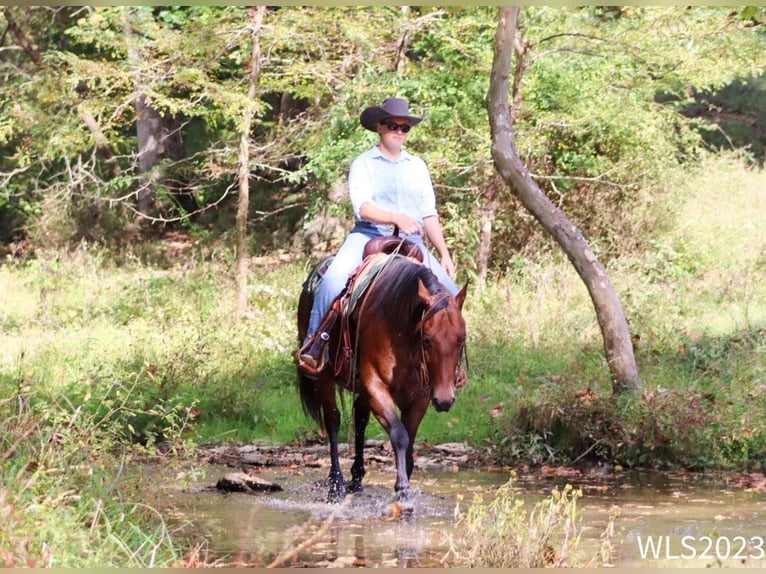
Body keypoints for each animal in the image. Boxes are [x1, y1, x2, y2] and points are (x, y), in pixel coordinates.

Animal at [298, 253, 468, 504]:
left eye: (461, 338)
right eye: (426, 339)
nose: (445, 400)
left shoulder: (420, 396)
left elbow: (409, 440)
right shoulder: (376, 385)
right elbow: (399, 435)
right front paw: (402, 490)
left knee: (359, 419)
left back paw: (357, 479)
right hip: (323, 377)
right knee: (333, 421)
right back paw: (336, 486)